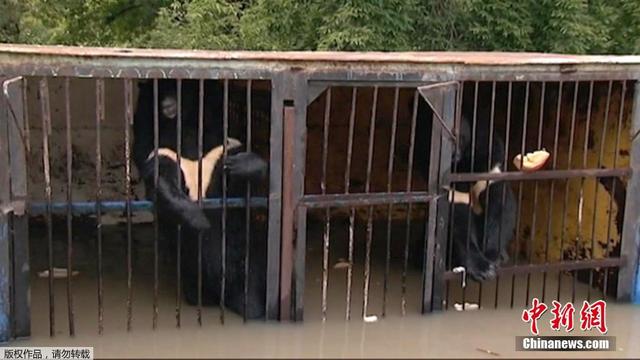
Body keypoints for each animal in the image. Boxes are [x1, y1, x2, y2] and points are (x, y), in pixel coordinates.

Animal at [132, 79, 268, 318]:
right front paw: (199, 220)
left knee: (253, 294)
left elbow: (237, 160)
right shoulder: (159, 147)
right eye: (159, 92)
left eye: (178, 89)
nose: (167, 104)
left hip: (250, 260)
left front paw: (241, 165)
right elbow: (159, 174)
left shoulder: (216, 146)